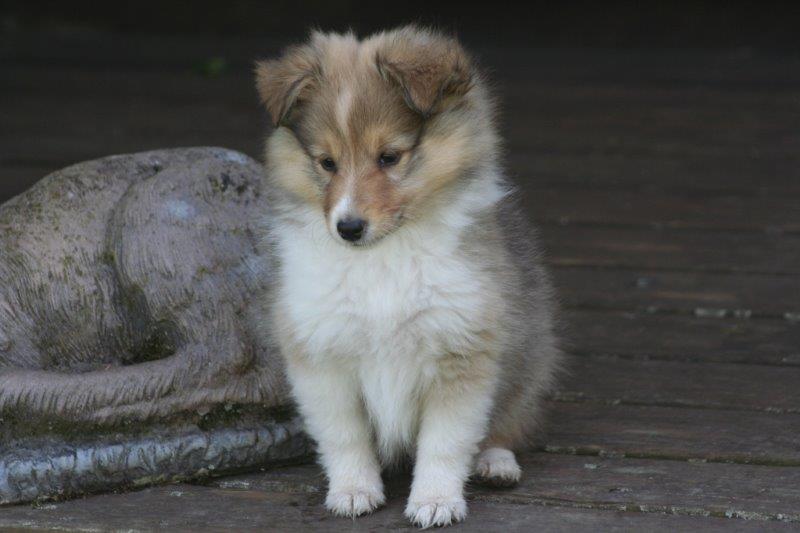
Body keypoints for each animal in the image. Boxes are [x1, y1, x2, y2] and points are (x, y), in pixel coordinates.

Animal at [255, 26, 563, 528]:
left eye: (389, 157)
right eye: (327, 163)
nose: (348, 227)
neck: (384, 257)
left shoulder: (463, 349)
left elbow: (445, 442)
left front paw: (435, 501)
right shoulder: (322, 356)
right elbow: (345, 436)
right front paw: (353, 491)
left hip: (527, 360)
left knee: (505, 424)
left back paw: (496, 462)